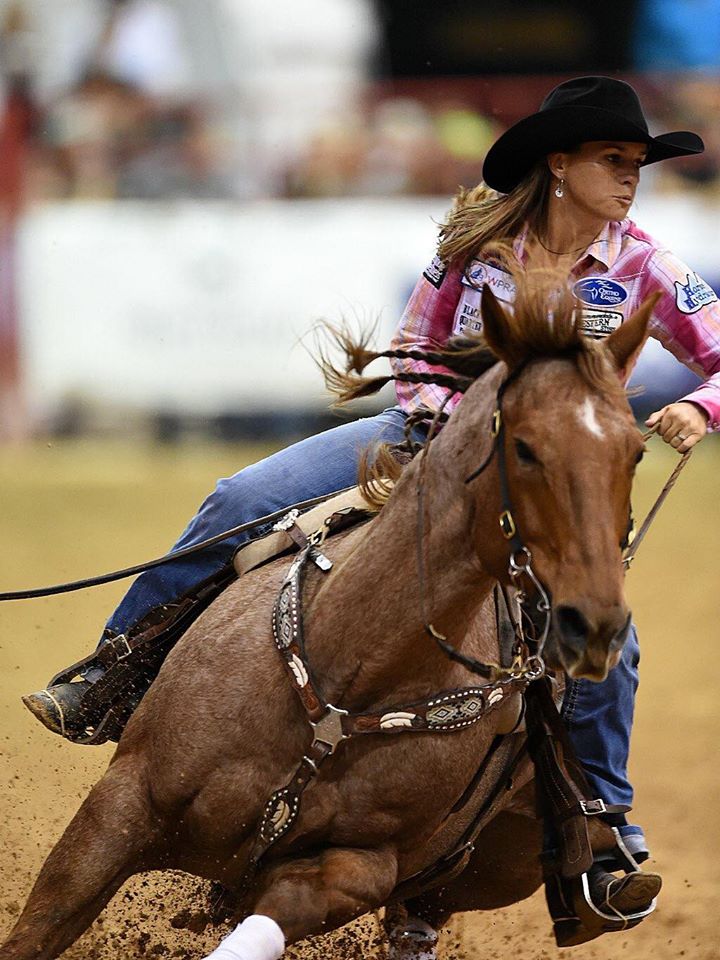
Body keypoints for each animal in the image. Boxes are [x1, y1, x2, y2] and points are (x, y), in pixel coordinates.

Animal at [0, 280, 655, 960]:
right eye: (524, 447)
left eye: (635, 451)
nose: (594, 625)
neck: (354, 672)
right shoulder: (122, 804)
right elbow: (40, 926)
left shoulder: (353, 870)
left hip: (478, 874)